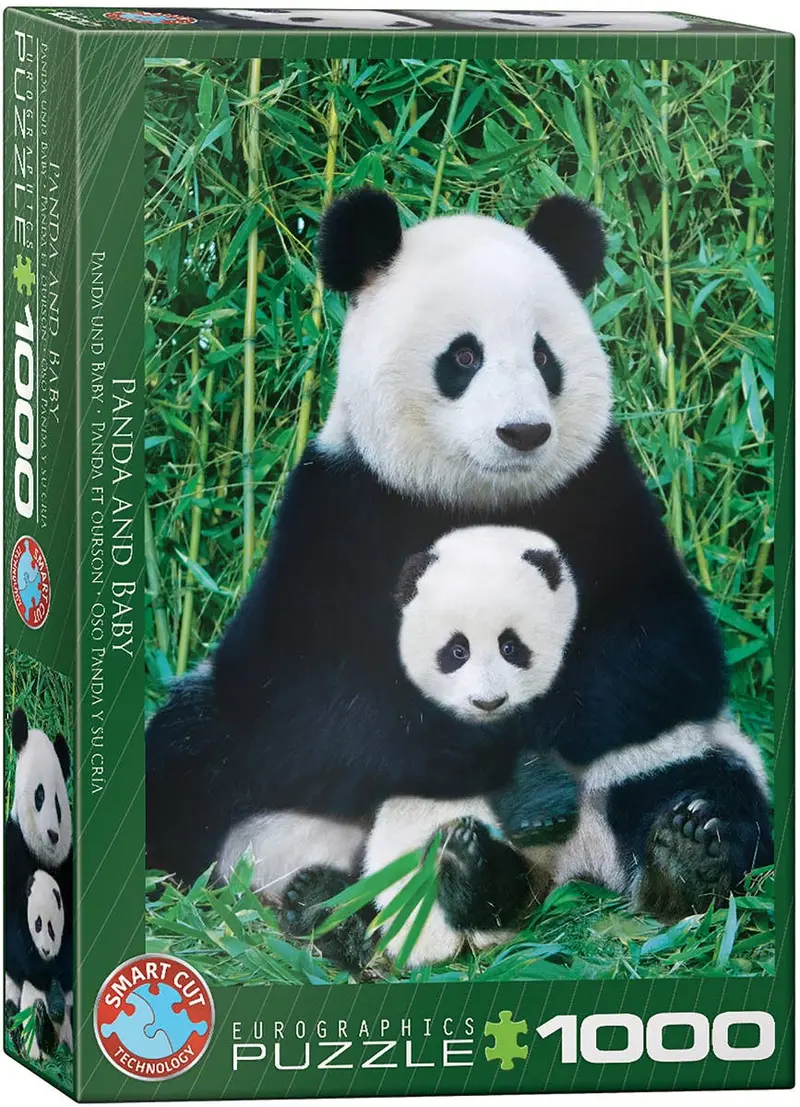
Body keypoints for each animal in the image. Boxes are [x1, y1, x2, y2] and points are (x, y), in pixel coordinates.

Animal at [146, 187, 768, 971]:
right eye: (464, 356)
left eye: (543, 355)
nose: (524, 432)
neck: (477, 498)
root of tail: (563, 869)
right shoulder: (339, 507)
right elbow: (305, 690)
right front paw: (497, 759)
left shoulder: (602, 492)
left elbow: (663, 649)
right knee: (187, 761)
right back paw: (339, 905)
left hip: (673, 753)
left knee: (708, 782)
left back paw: (680, 853)